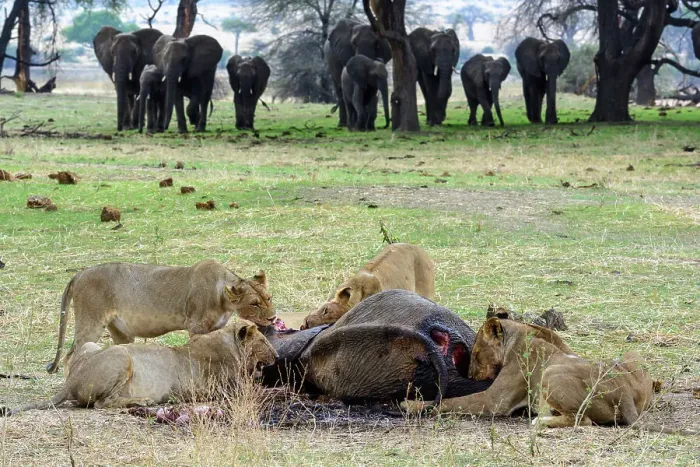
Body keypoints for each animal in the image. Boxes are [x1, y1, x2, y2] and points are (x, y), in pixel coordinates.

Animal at [4, 322, 276, 415]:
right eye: (263, 341)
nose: (275, 355)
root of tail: (70, 381)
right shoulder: (225, 389)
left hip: (92, 346)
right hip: (122, 355)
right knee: (102, 403)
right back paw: (143, 402)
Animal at [46, 259, 276, 374]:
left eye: (269, 298)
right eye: (254, 303)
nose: (273, 318)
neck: (223, 297)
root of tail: (79, 274)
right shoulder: (196, 327)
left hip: (120, 331)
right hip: (91, 322)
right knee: (69, 357)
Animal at [403, 318, 655, 429]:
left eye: (475, 354)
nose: (471, 376)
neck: (519, 336)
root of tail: (623, 391)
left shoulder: (495, 400)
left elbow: (451, 401)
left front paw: (410, 404)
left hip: (550, 373)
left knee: (582, 420)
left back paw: (540, 419)